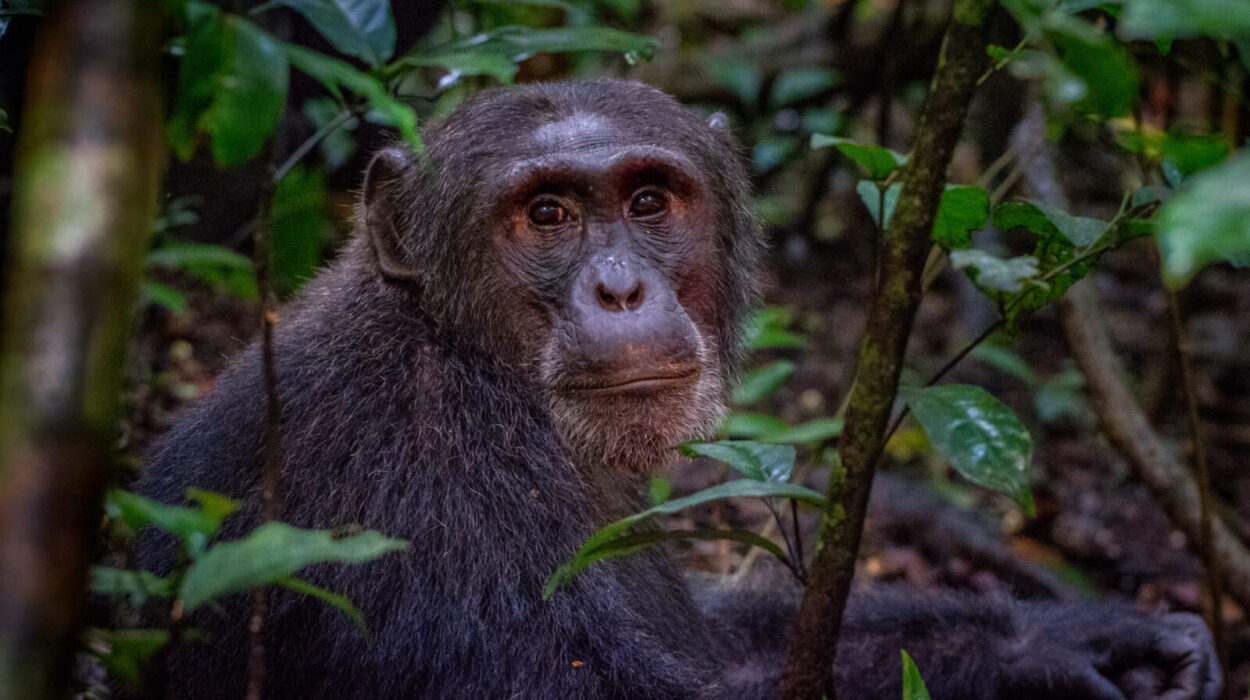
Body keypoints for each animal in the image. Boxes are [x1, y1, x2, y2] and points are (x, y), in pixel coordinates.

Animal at [135, 79, 1221, 700]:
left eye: (649, 200)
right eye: (547, 213)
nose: (620, 287)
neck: (461, 352)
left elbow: (727, 646)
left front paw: (1072, 638)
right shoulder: (421, 495)